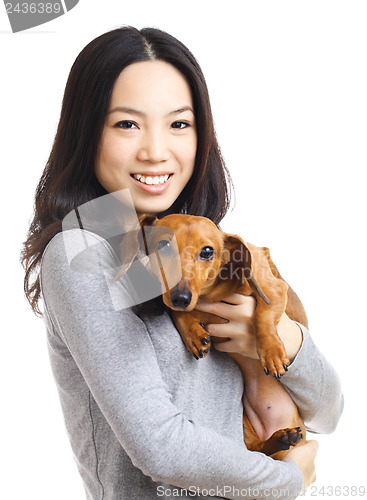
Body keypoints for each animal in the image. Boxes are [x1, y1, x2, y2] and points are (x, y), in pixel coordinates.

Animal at [118, 213, 308, 458]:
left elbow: (263, 315)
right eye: (162, 245)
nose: (181, 297)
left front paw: (272, 353)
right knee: (256, 449)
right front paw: (193, 334)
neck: (210, 293)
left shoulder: (273, 289)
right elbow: (177, 312)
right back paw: (281, 438)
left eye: (207, 251)